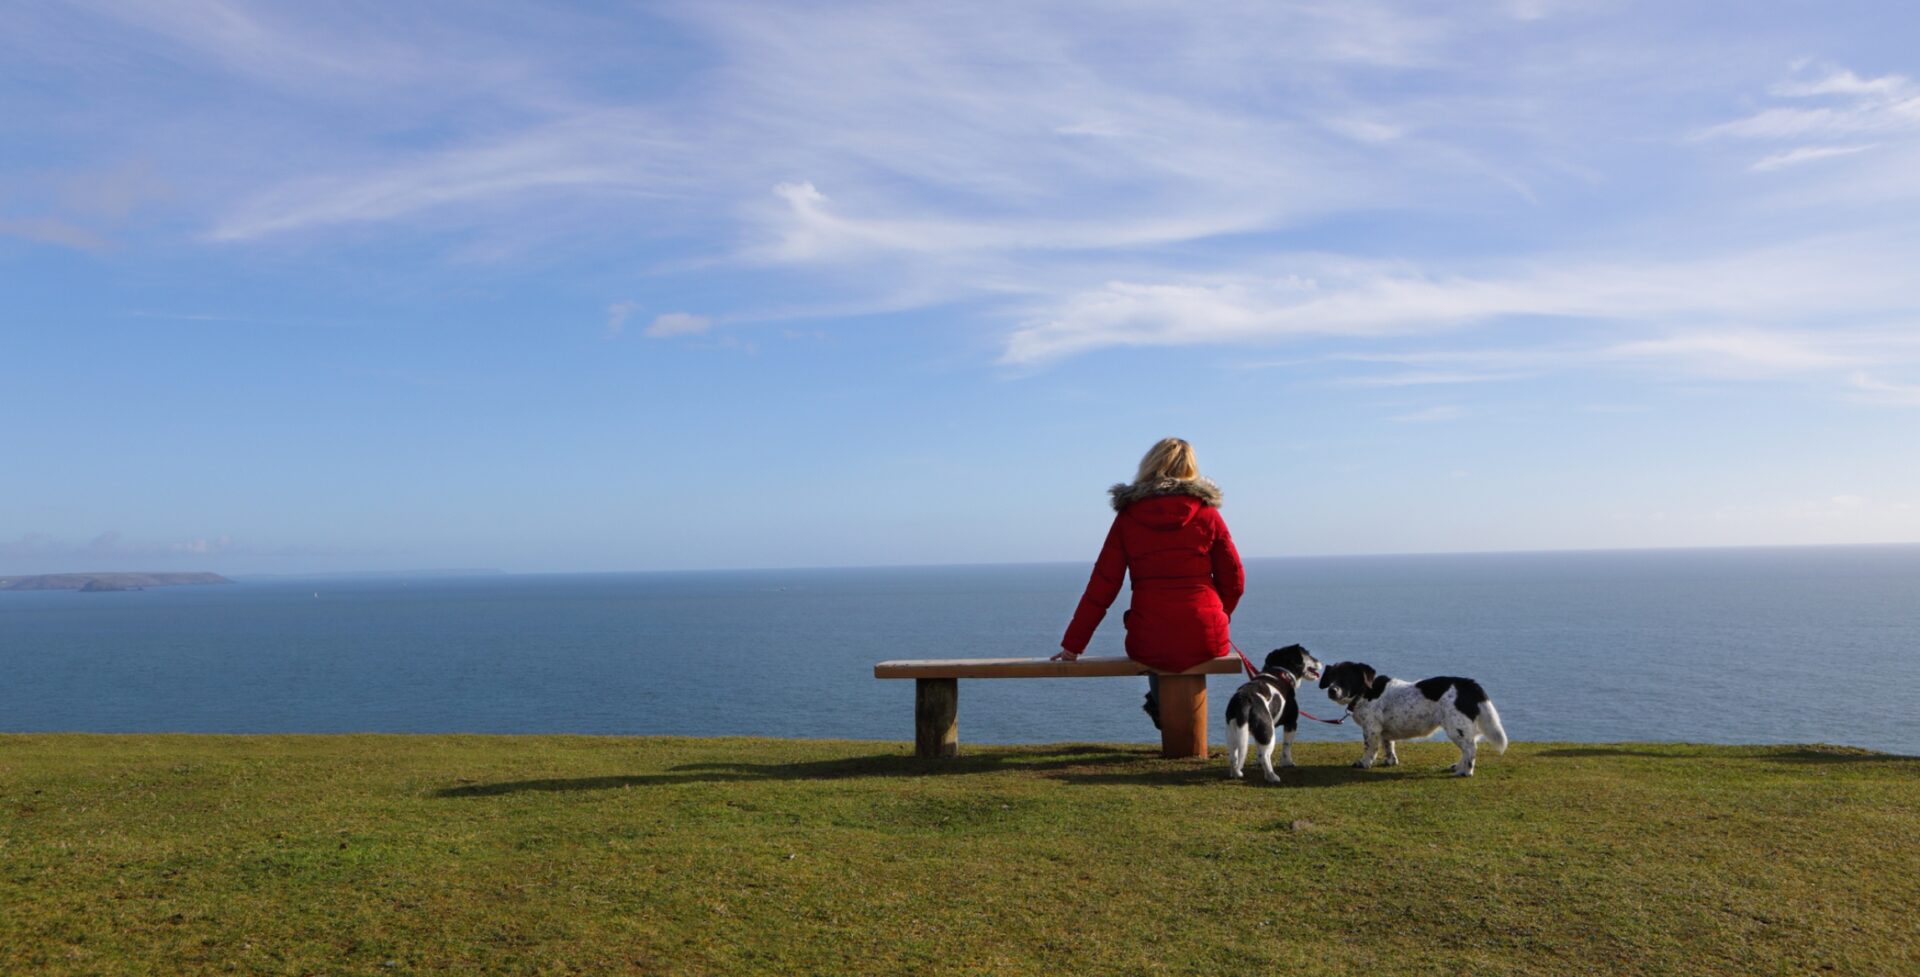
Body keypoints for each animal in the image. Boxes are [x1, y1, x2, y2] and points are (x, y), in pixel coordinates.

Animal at [1228, 644, 1320, 779]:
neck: (1282, 672)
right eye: (1308, 654)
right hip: (1268, 731)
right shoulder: (1291, 723)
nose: (1319, 661)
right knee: (1266, 756)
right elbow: (1287, 746)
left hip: (1234, 732)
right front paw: (1287, 763)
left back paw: (1235, 773)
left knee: (1233, 756)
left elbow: (1258, 750)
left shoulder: (1258, 733)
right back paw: (1272, 776)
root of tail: (1244, 700)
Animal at [1328, 664, 1505, 775]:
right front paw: (1390, 761)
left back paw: (1465, 772)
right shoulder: (1384, 731)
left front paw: (1363, 763)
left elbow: (1370, 749)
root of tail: (1468, 685)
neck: (1366, 692)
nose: (1332, 690)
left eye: (1346, 678)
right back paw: (1458, 767)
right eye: (1331, 677)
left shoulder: (1371, 729)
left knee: (1470, 749)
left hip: (1456, 727)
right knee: (1467, 749)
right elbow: (1388, 745)